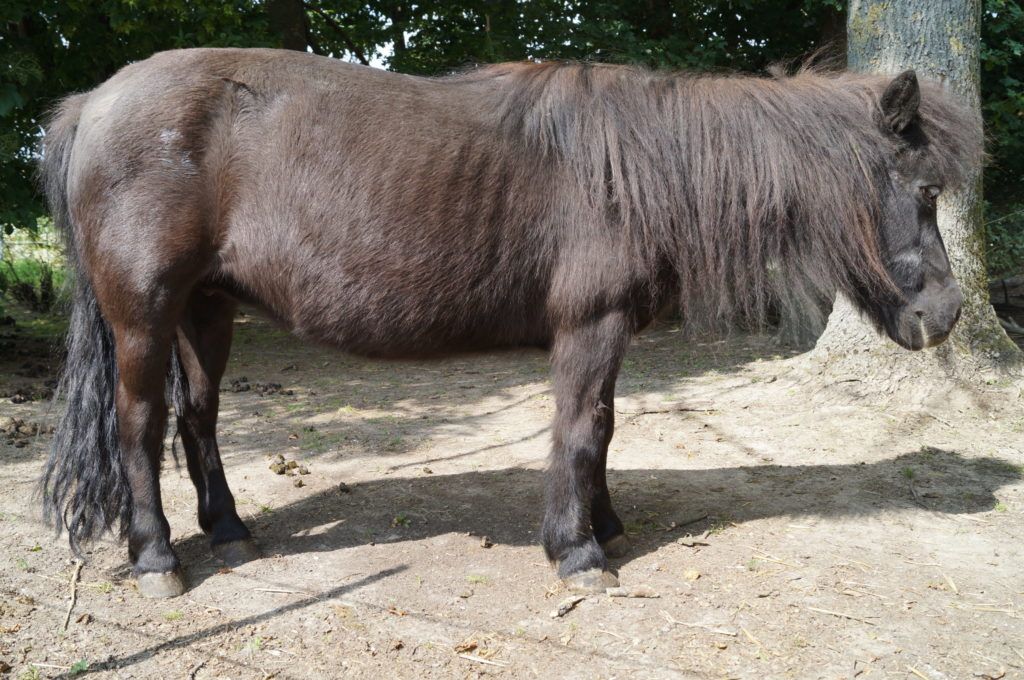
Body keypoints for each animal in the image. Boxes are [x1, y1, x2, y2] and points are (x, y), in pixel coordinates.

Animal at [40, 48, 981, 598]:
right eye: (925, 188)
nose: (946, 314)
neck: (641, 170)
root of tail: (96, 100)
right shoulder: (590, 328)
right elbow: (581, 430)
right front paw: (577, 549)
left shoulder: (609, 334)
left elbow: (604, 432)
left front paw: (603, 525)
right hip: (146, 314)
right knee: (139, 424)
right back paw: (157, 558)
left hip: (207, 309)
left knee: (198, 417)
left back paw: (231, 531)